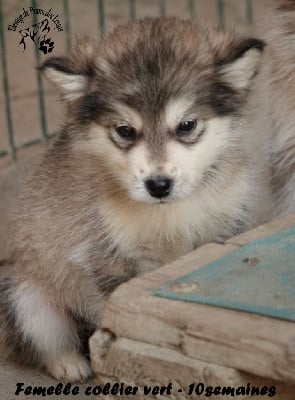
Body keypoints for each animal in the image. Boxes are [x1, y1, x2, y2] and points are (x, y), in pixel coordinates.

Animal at [0, 18, 274, 382]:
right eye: (124, 130)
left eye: (187, 125)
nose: (158, 185)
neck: (169, 214)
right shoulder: (106, 256)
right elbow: (116, 313)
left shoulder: (223, 227)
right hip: (26, 297)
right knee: (42, 338)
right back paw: (68, 363)